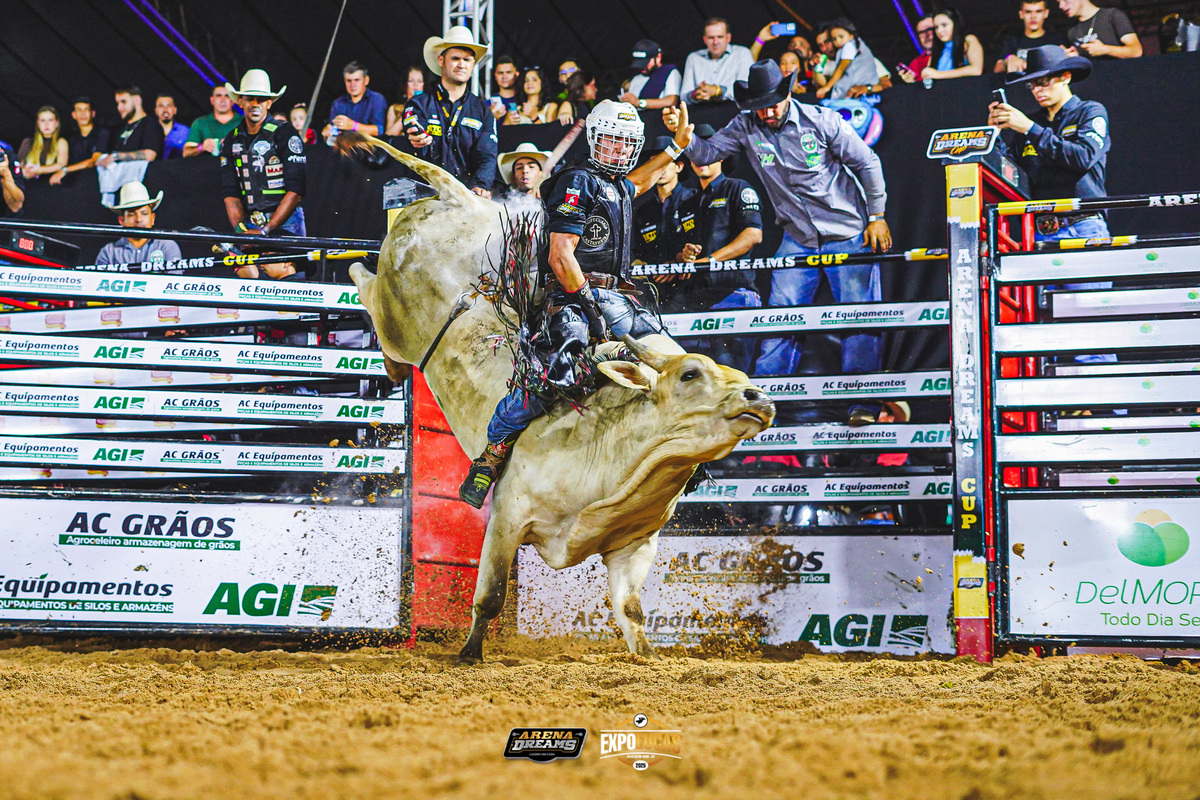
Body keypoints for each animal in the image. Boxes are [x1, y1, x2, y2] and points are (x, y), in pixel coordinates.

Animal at [347, 137, 775, 663]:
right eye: (690, 374)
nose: (758, 396)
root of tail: (458, 199)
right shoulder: (508, 517)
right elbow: (491, 596)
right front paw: (469, 655)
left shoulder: (634, 545)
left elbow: (631, 611)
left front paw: (647, 657)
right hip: (393, 312)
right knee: (364, 283)